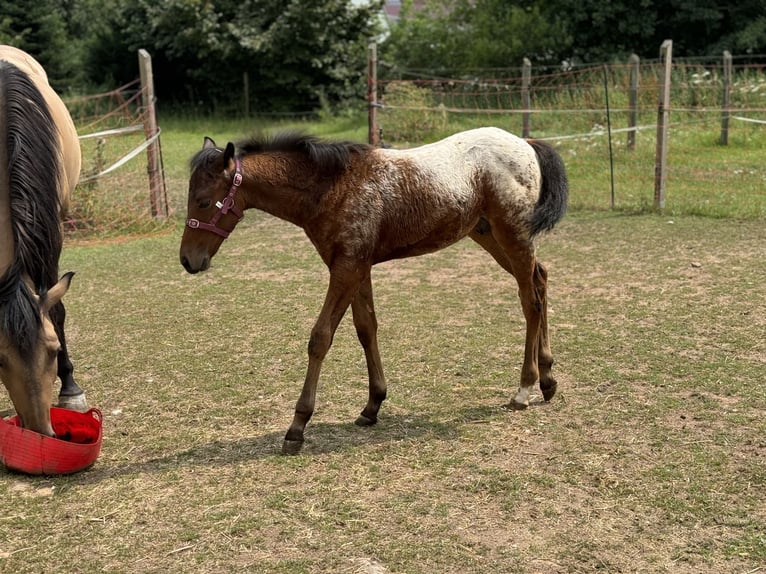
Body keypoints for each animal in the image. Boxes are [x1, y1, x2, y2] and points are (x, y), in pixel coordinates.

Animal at [178, 128, 564, 456]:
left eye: (202, 201)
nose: (187, 260)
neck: (333, 188)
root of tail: (526, 143)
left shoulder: (346, 270)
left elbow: (320, 337)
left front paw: (297, 428)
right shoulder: (357, 268)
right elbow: (366, 329)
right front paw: (372, 405)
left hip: (512, 235)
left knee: (530, 302)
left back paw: (524, 389)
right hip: (487, 234)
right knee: (540, 280)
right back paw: (547, 379)